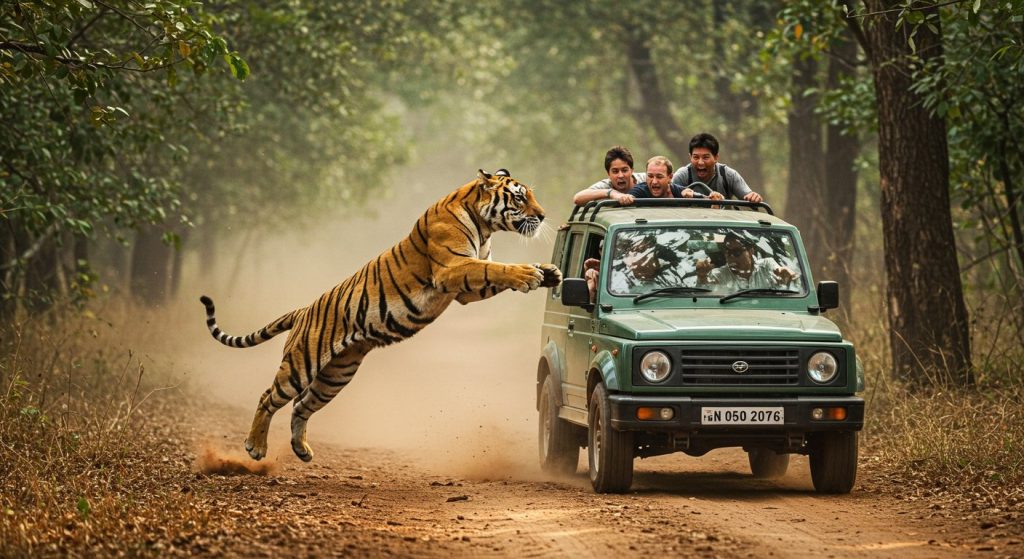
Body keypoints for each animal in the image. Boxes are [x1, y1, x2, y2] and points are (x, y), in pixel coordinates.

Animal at [200, 169, 561, 462]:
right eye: (520, 197)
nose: (544, 216)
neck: (485, 226)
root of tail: (303, 311)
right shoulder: (452, 270)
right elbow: (499, 269)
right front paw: (530, 274)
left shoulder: (465, 290)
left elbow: (494, 274)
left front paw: (551, 272)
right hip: (302, 363)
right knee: (269, 397)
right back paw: (255, 447)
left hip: (337, 373)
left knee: (302, 406)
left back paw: (302, 450)